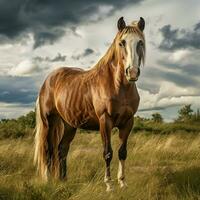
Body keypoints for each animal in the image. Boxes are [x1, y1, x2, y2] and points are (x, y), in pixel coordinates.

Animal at [34, 16, 145, 191]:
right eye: (122, 43)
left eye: (140, 42)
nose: (132, 72)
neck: (117, 86)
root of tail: (48, 81)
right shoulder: (105, 121)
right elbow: (107, 152)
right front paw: (109, 185)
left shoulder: (128, 122)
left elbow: (122, 152)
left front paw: (122, 183)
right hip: (49, 122)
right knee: (48, 150)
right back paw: (48, 180)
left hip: (69, 125)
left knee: (62, 149)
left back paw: (63, 180)